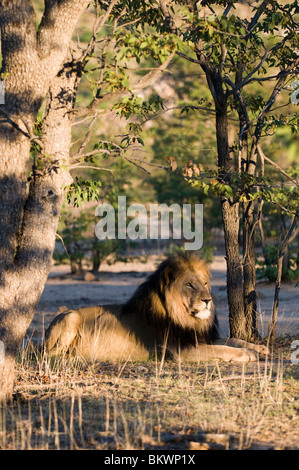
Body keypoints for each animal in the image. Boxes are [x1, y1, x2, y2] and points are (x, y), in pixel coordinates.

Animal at [45, 252, 272, 362]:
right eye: (189, 285)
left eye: (205, 283)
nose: (208, 300)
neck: (185, 318)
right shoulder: (180, 350)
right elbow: (222, 348)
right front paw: (247, 354)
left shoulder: (197, 337)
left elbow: (232, 339)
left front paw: (258, 347)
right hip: (70, 317)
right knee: (50, 354)